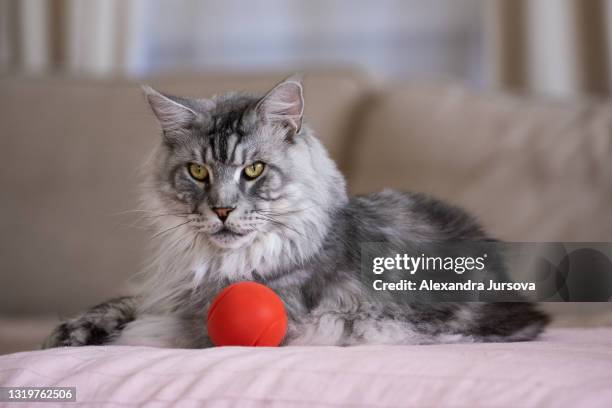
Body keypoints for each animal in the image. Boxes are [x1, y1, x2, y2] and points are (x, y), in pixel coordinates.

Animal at [43, 74, 548, 348]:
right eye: (198, 172)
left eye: (253, 170)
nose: (222, 210)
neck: (216, 264)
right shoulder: (166, 290)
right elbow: (119, 304)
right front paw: (68, 333)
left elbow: (147, 327)